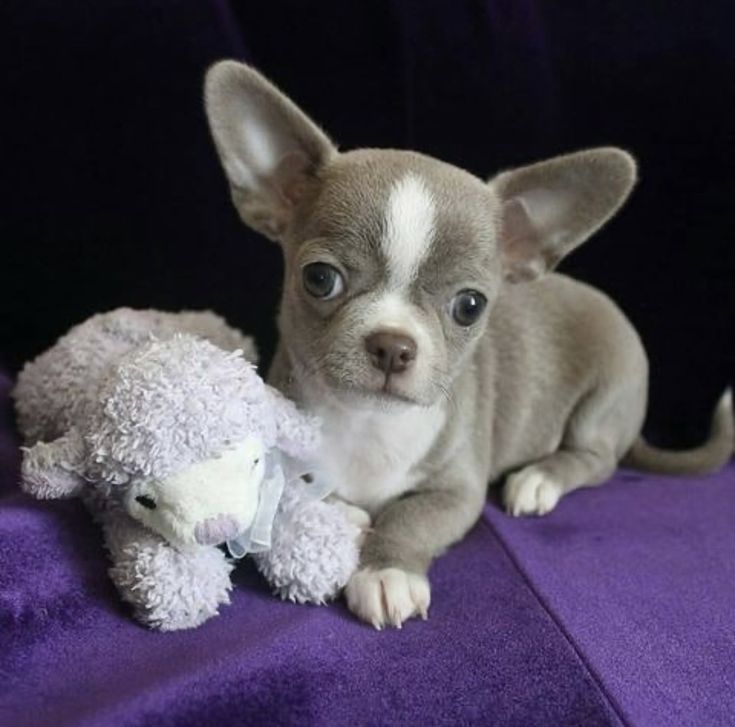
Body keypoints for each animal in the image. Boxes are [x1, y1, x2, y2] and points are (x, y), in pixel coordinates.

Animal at [203, 61, 735, 632]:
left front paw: (387, 571)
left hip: (607, 397)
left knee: (596, 459)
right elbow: (292, 490)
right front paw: (347, 513)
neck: (369, 422)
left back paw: (539, 478)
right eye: (320, 279)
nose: (393, 344)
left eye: (470, 306)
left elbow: (410, 515)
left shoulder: (457, 493)